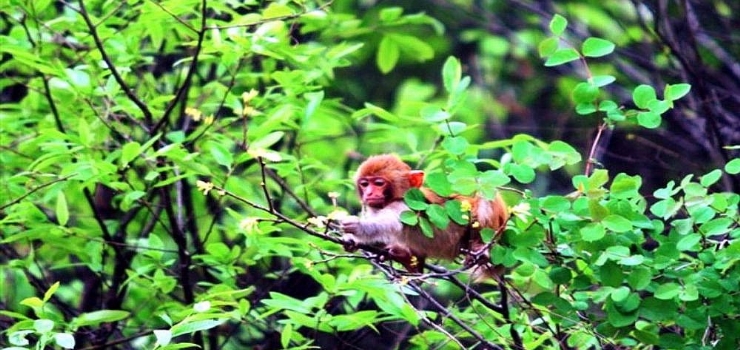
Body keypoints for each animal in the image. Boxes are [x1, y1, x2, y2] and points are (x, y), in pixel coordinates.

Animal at [342, 154, 508, 278]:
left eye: (378, 183)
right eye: (365, 184)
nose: (369, 193)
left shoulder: (403, 207)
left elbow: (386, 223)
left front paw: (358, 226)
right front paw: (352, 240)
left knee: (486, 194)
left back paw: (481, 249)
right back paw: (408, 261)